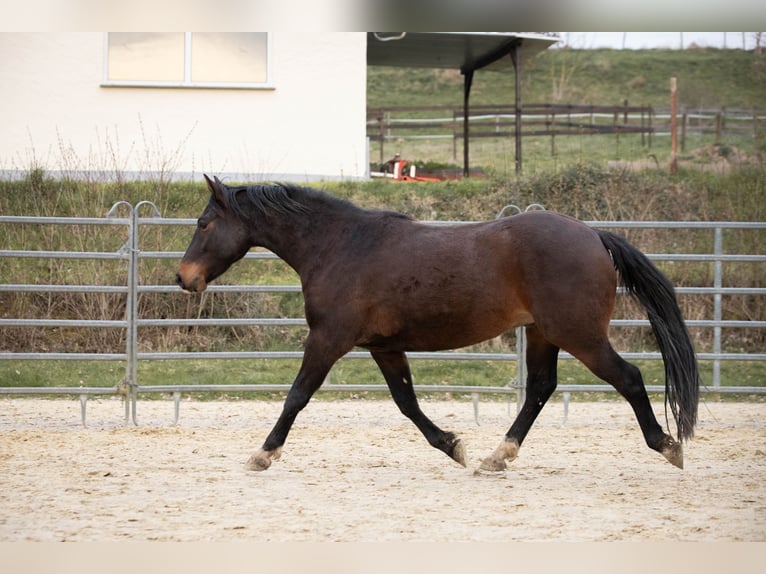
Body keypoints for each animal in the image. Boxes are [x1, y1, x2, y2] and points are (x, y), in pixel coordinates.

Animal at [176, 177, 704, 476]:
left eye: (203, 224)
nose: (183, 278)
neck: (340, 246)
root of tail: (593, 234)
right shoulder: (382, 347)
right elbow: (407, 404)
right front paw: (453, 446)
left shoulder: (328, 340)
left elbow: (296, 397)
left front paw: (262, 455)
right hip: (543, 334)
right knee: (539, 388)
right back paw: (496, 457)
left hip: (580, 336)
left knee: (628, 378)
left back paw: (669, 447)